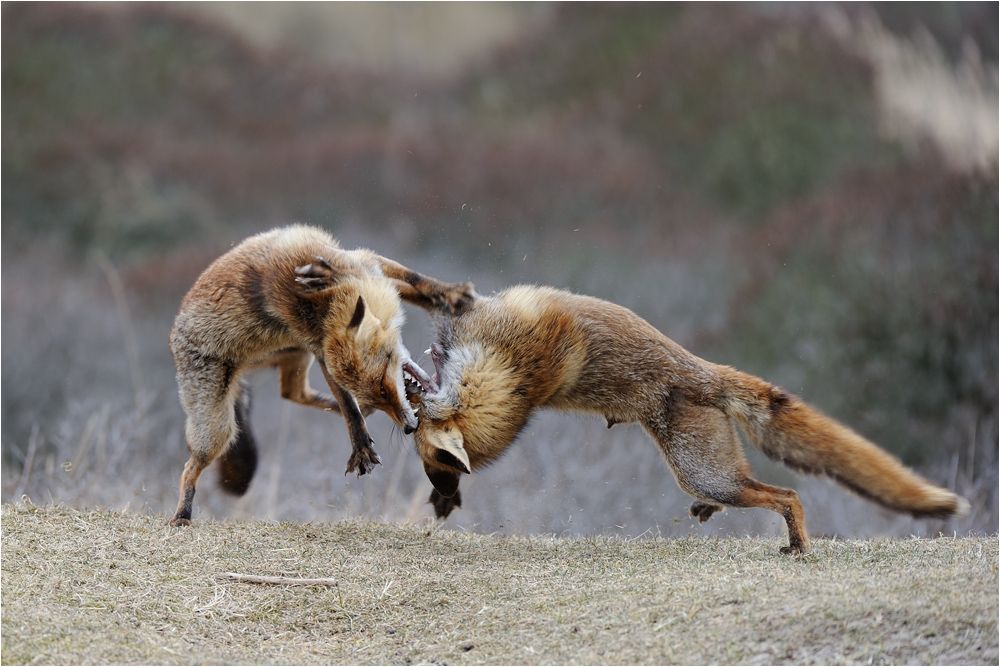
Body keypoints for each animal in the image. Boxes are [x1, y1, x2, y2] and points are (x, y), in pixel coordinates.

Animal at [167, 224, 472, 528]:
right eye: (382, 391)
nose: (409, 428)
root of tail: (173, 334)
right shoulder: (319, 346)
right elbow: (349, 408)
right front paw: (361, 444)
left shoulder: (365, 264)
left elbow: (412, 281)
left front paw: (450, 295)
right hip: (217, 428)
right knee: (188, 468)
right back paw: (182, 514)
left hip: (294, 353)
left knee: (293, 392)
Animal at [408, 284, 968, 556]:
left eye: (434, 461)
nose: (443, 500)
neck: (509, 365)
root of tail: (708, 371)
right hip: (704, 472)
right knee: (756, 491)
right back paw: (717, 517)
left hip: (705, 473)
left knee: (786, 495)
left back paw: (798, 545)